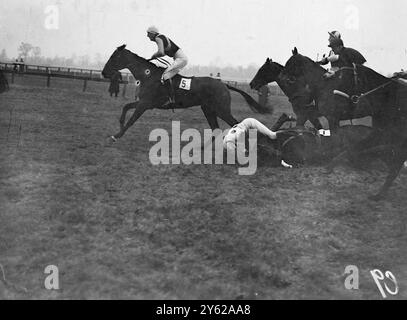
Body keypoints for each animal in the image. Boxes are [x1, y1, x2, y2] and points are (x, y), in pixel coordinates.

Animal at [101, 44, 270, 141]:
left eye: (114, 57)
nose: (103, 72)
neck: (147, 74)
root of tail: (223, 84)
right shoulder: (144, 102)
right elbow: (126, 107)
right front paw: (119, 126)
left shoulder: (145, 104)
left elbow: (132, 119)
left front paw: (117, 135)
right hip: (208, 109)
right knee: (216, 128)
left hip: (221, 109)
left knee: (235, 124)